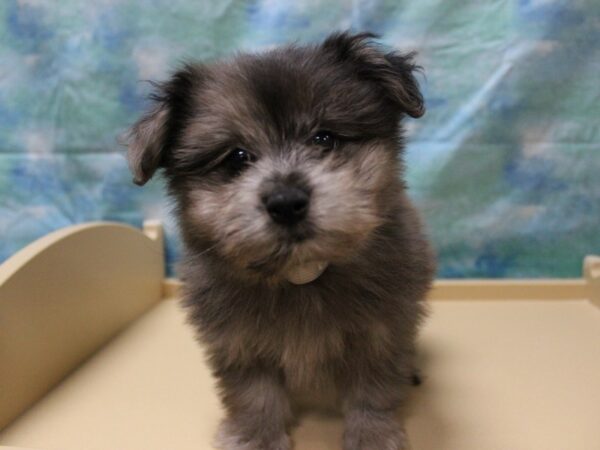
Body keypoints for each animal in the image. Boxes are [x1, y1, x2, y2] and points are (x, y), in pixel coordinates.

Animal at [127, 31, 436, 450]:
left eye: (324, 138)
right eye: (237, 157)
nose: (286, 202)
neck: (300, 273)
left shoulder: (382, 331)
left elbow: (373, 387)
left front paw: (371, 434)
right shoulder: (237, 340)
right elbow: (253, 392)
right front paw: (256, 436)